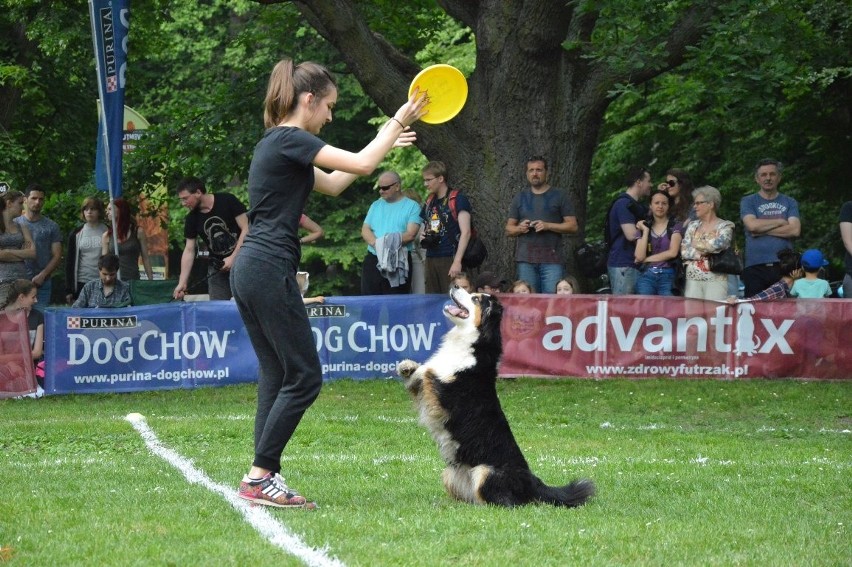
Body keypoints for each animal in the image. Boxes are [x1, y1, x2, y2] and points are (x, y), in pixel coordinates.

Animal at [398, 286, 592, 508]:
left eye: (475, 298)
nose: (455, 286)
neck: (474, 343)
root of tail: (533, 481)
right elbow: (418, 375)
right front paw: (406, 367)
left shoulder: (444, 393)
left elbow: (430, 370)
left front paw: (418, 368)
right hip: (450, 474)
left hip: (485, 473)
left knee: (504, 503)